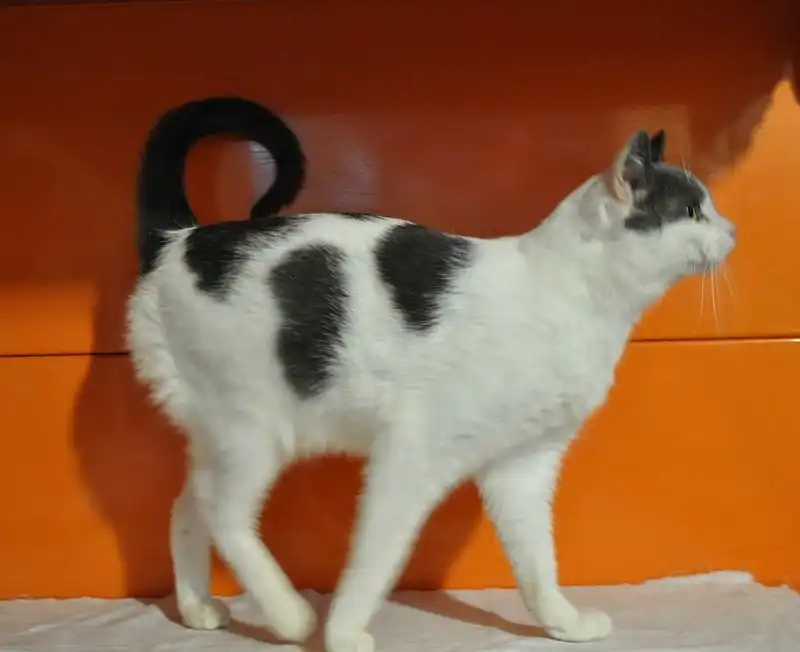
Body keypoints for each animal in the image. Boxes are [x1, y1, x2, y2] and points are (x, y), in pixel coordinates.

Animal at [126, 97, 737, 652]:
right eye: (692, 212)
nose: (732, 230)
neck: (567, 295)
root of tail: (182, 239)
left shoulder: (523, 466)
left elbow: (537, 562)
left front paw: (562, 622)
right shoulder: (410, 456)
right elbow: (377, 555)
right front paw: (342, 631)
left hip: (221, 438)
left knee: (188, 507)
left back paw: (198, 607)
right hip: (255, 430)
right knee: (225, 514)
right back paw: (290, 615)